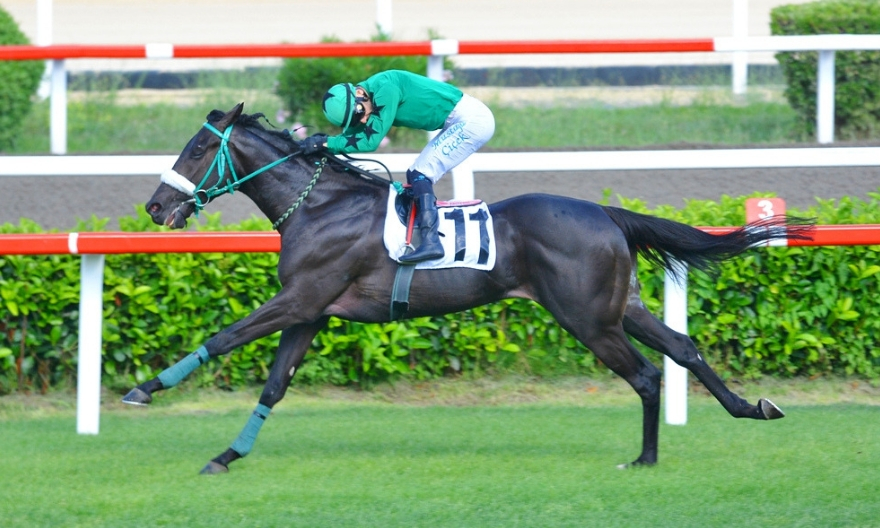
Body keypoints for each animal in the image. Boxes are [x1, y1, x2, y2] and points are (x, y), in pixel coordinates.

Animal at [123, 102, 814, 474]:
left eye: (196, 149)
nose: (156, 207)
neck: (320, 204)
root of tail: (605, 212)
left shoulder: (300, 299)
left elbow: (223, 337)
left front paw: (143, 389)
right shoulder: (312, 312)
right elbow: (273, 385)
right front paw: (226, 455)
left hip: (588, 319)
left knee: (646, 376)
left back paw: (644, 459)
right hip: (623, 308)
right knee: (685, 350)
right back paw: (752, 407)